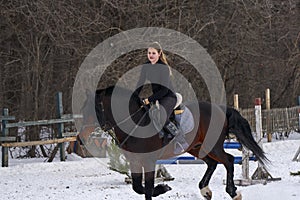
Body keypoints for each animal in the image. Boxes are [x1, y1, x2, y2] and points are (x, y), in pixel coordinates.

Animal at [92, 85, 268, 200]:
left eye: (97, 107)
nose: (101, 127)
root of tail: (220, 109)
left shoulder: (148, 160)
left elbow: (146, 189)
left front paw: (162, 187)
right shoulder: (135, 161)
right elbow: (138, 187)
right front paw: (163, 187)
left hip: (213, 147)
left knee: (228, 160)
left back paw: (233, 192)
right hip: (197, 148)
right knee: (212, 163)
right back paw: (205, 190)